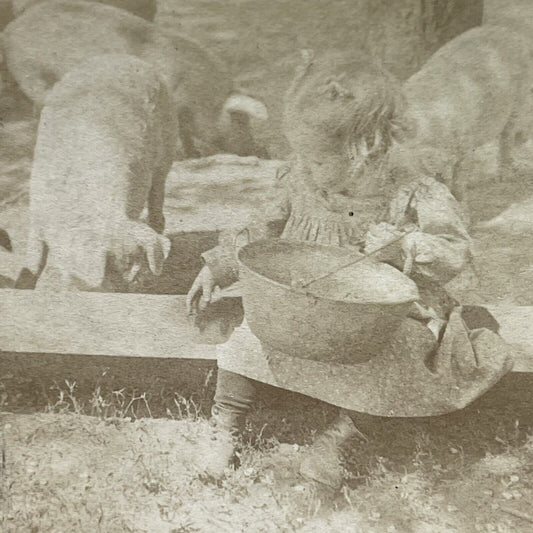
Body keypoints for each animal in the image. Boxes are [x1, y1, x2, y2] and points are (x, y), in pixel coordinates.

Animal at [0, 0, 266, 158]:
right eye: (240, 120)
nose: (260, 151)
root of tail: (10, 29)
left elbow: (185, 134)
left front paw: (194, 155)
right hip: (31, 73)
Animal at [14, 54, 172, 290]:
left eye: (136, 262)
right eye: (108, 266)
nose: (137, 282)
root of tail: (123, 57)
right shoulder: (37, 207)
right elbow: (35, 254)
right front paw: (26, 280)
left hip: (167, 150)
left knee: (157, 193)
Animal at [386, 24, 532, 212]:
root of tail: (509, 31)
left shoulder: (464, 143)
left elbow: (459, 178)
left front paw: (460, 207)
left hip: (517, 102)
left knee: (507, 137)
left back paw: (502, 177)